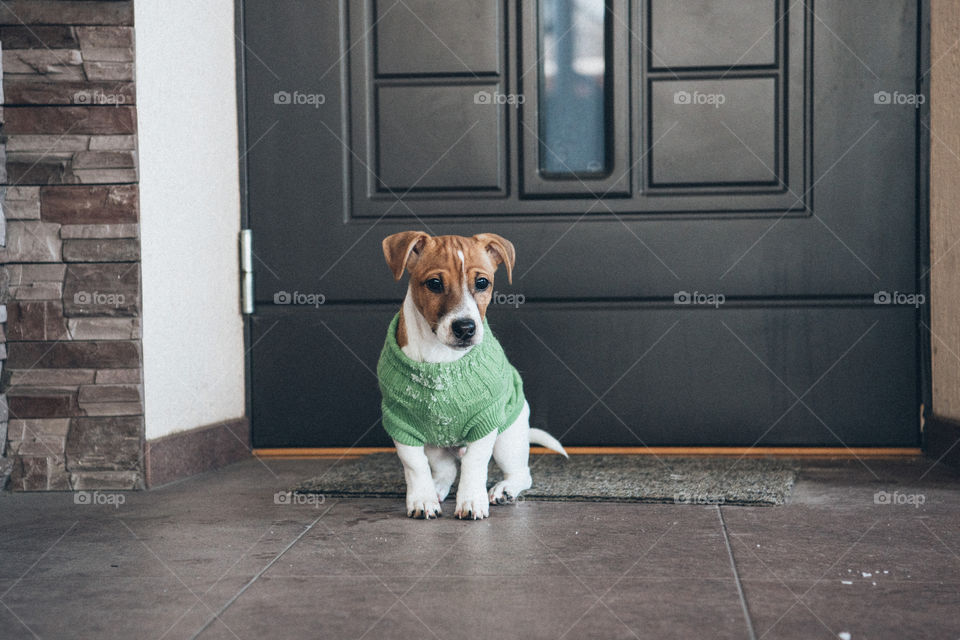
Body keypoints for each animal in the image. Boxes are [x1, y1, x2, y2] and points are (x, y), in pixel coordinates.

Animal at [376, 231, 568, 520]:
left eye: (482, 283)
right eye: (434, 283)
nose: (465, 328)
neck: (440, 357)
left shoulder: (485, 419)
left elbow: (474, 464)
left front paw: (471, 501)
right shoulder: (401, 422)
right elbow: (415, 465)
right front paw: (422, 499)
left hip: (507, 439)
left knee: (521, 473)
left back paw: (504, 490)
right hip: (435, 442)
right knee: (446, 468)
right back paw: (437, 488)